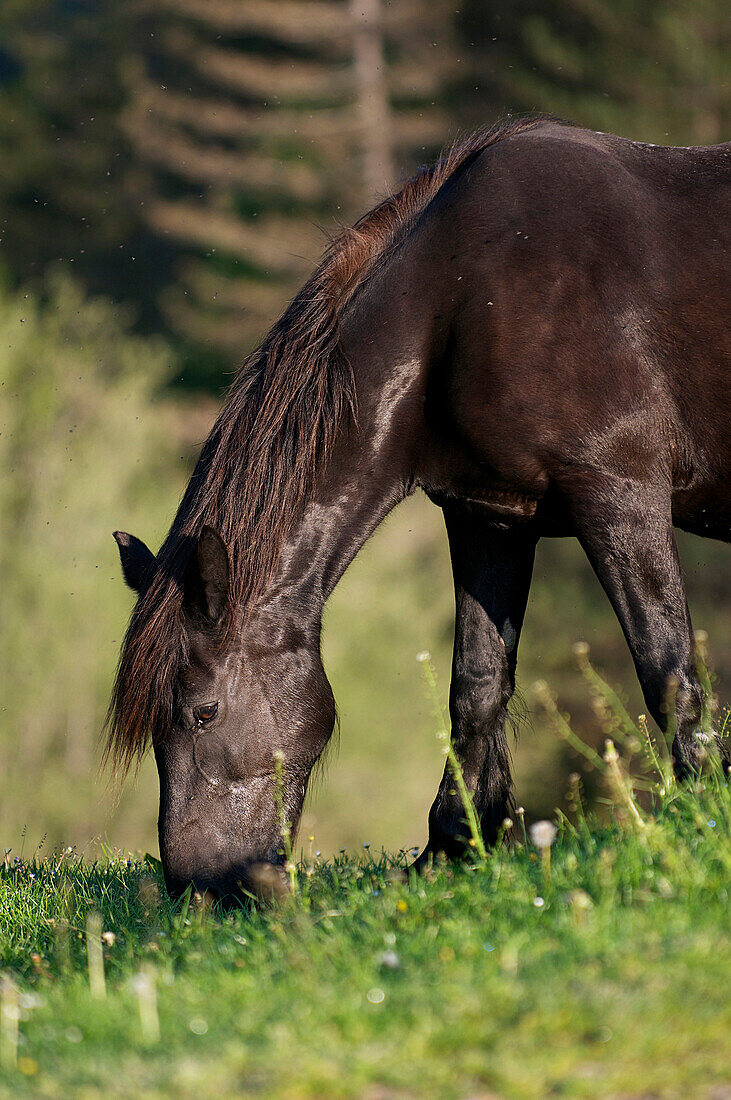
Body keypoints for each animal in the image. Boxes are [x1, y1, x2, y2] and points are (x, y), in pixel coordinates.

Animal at [109, 116, 729, 897]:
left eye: (203, 712)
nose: (203, 886)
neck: (469, 300)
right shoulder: (490, 518)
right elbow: (476, 688)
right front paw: (452, 847)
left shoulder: (619, 494)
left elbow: (667, 669)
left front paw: (704, 812)